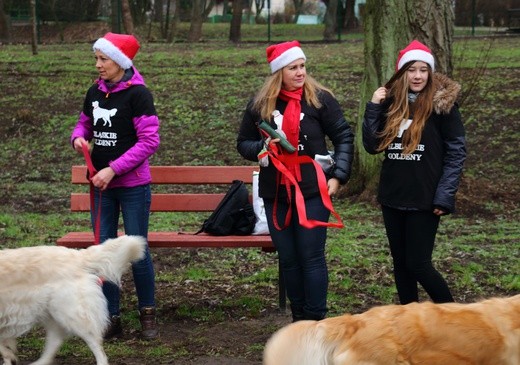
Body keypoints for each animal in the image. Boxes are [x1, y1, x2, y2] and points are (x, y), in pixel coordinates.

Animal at [0, 235, 146, 362]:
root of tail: (77, 255)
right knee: (55, 341)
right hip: (53, 312)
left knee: (98, 349)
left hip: (72, 315)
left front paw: (9, 356)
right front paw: (9, 357)